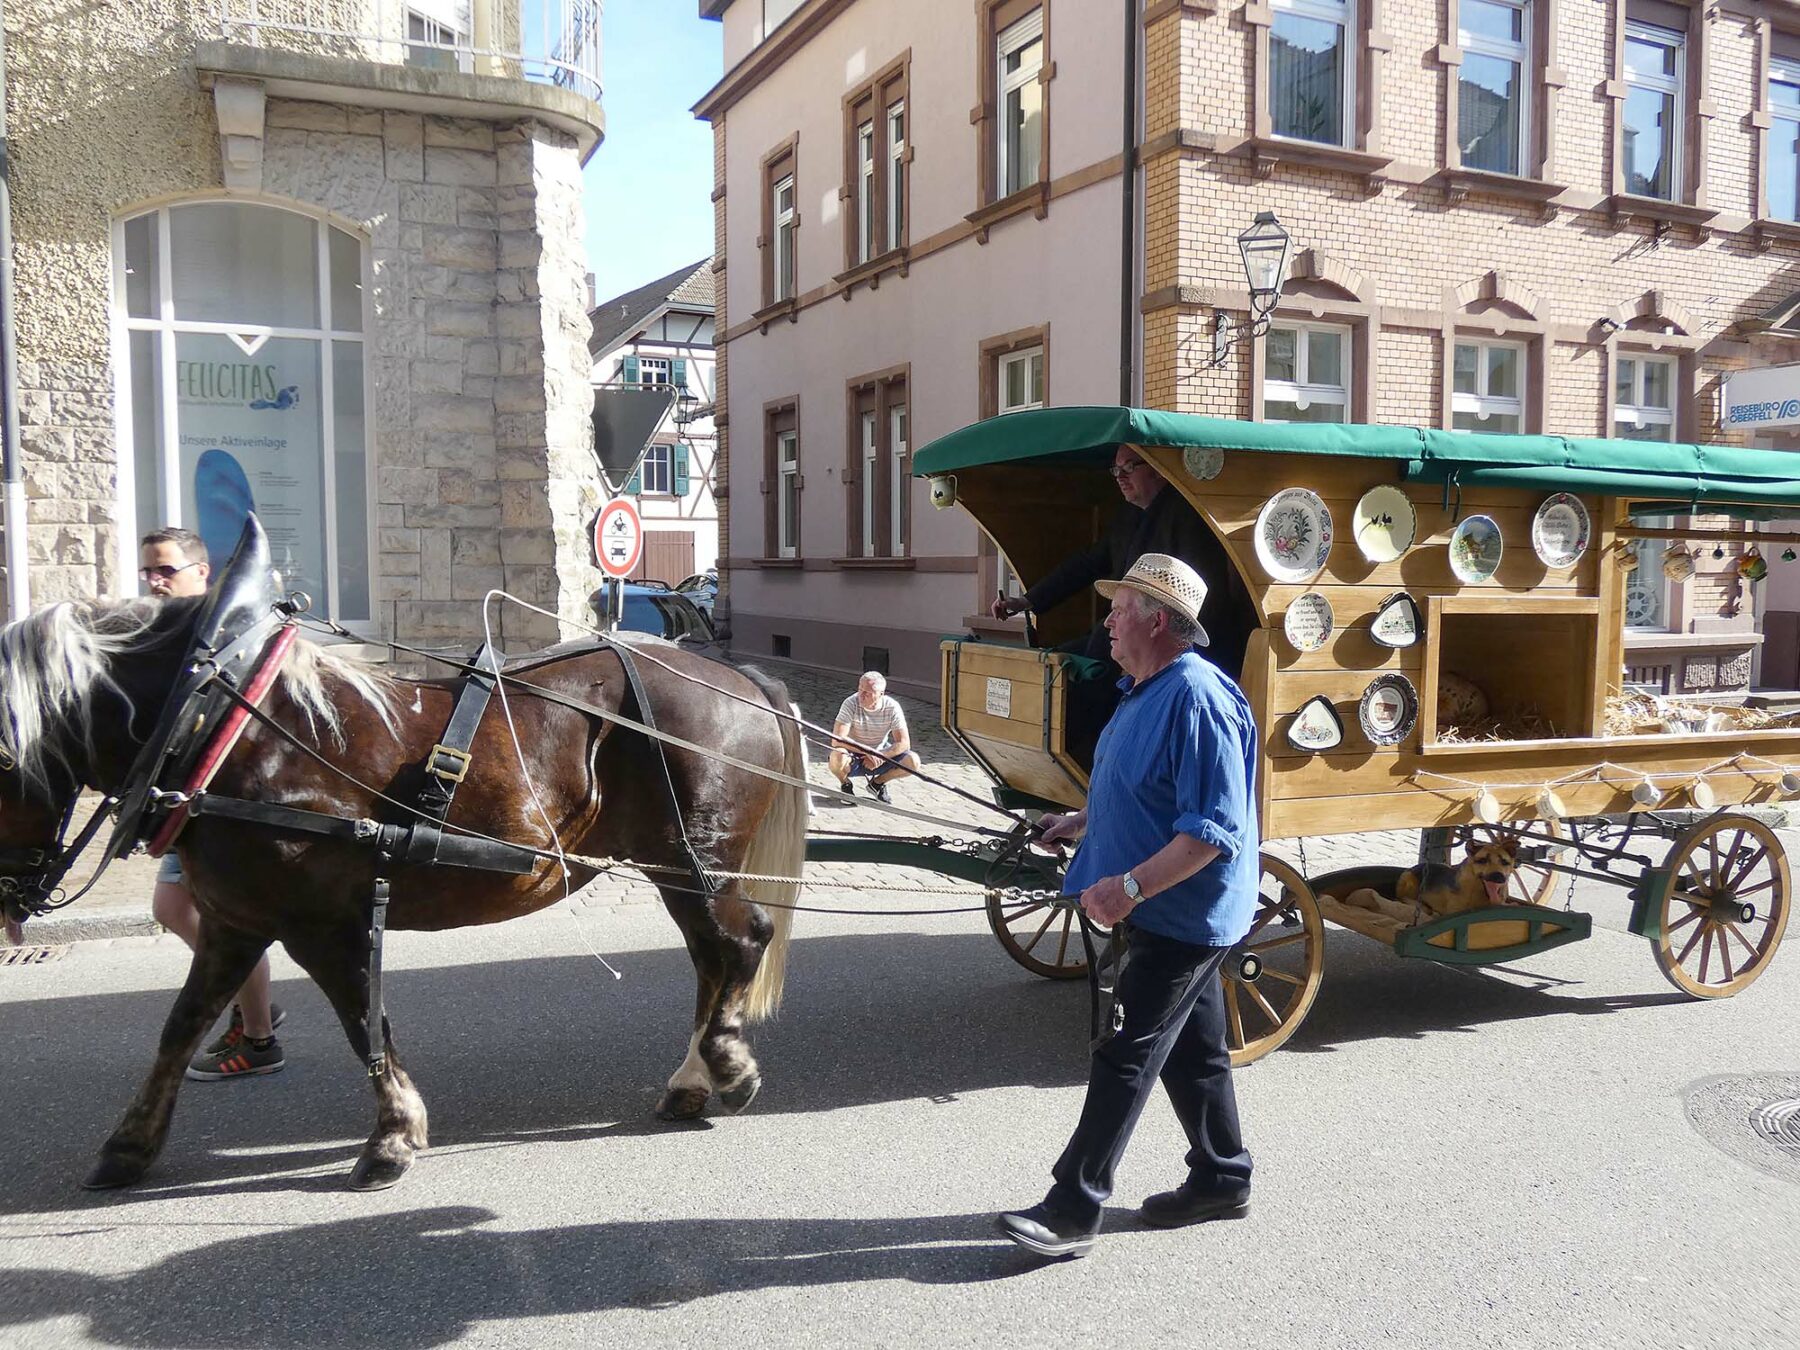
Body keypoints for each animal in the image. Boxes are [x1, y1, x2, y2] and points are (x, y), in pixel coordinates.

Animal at [0, 592, 808, 1190]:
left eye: (6, 764)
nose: (13, 897)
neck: (229, 731)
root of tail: (740, 680)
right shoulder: (238, 920)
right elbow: (179, 1026)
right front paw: (130, 1146)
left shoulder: (324, 924)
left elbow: (365, 1022)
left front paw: (392, 1136)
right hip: (676, 867)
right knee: (712, 958)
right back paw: (693, 1076)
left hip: (694, 860)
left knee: (741, 943)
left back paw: (727, 1064)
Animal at [1343, 837, 1521, 925]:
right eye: (1482, 860)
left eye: (1505, 862)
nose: (1498, 877)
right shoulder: (1453, 913)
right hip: (1407, 878)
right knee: (1404, 898)